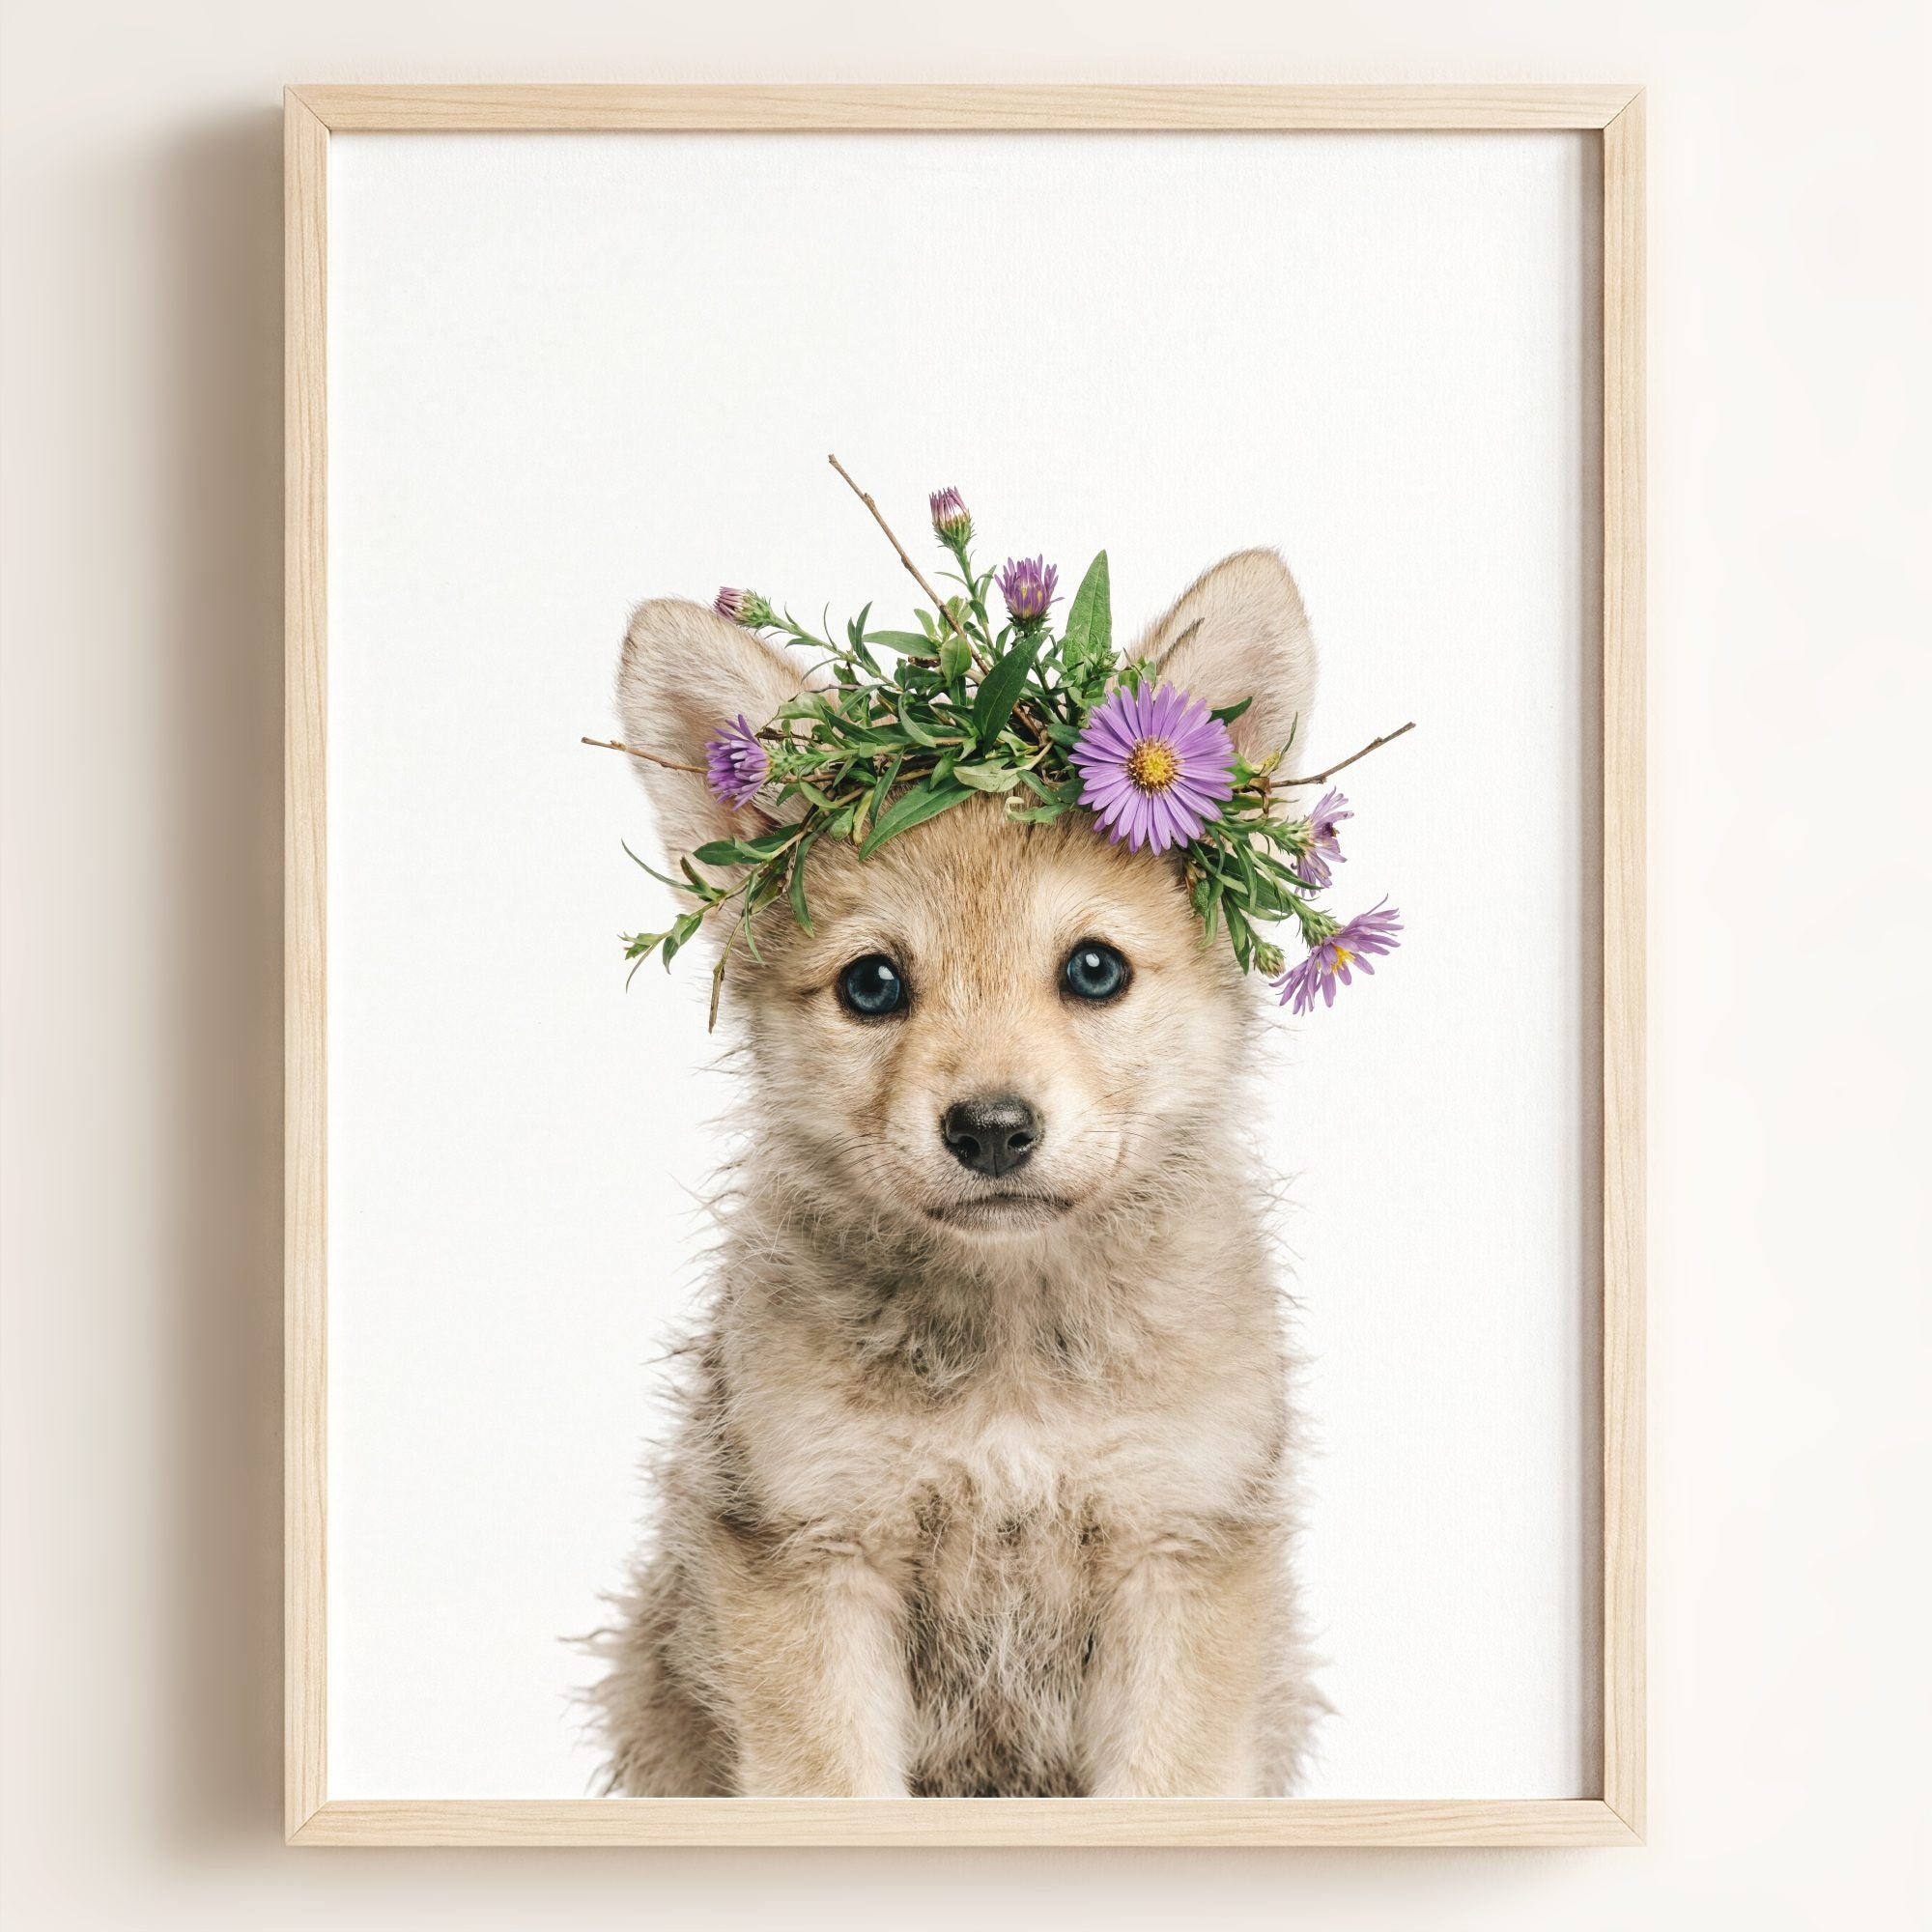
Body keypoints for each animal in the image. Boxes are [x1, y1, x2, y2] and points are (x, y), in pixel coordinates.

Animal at [590, 549, 1325, 1797]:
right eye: (871, 984)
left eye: (1093, 969)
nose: (988, 1128)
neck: (1011, 1356)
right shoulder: (814, 1551)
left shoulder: (1176, 1546)